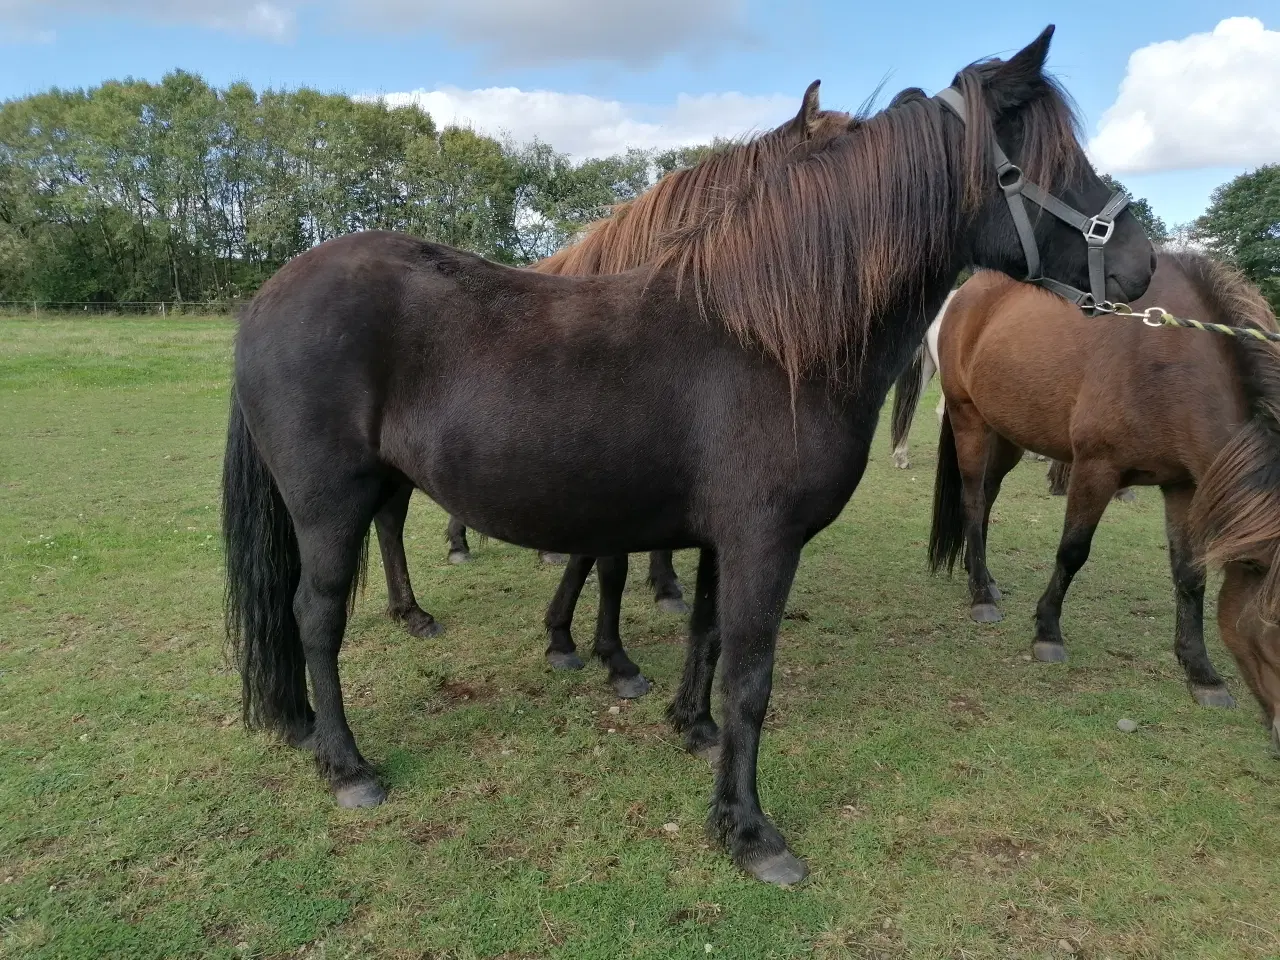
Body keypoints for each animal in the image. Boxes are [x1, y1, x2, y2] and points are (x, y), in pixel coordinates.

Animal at [931, 252, 1280, 732]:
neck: (1170, 359)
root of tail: (966, 294)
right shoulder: (1096, 467)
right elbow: (1072, 551)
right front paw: (1047, 633)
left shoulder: (1184, 485)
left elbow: (1190, 576)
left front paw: (1201, 672)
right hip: (969, 419)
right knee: (973, 500)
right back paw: (981, 595)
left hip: (1005, 432)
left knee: (987, 495)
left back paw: (980, 576)